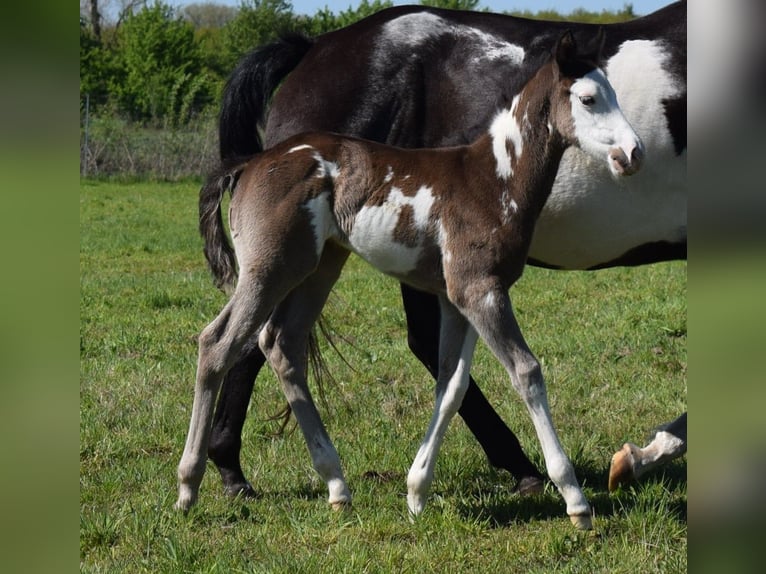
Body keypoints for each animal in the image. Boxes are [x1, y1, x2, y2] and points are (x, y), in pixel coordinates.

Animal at [204, 1, 687, 499]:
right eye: (589, 98)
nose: (633, 153)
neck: (491, 175)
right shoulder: (479, 288)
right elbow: (526, 371)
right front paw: (599, 478)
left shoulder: (464, 291)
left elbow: (452, 381)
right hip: (281, 265)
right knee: (234, 342)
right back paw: (221, 474)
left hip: (323, 265)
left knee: (281, 343)